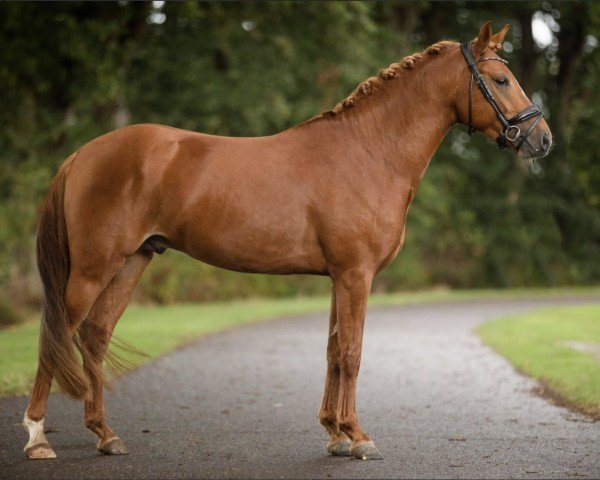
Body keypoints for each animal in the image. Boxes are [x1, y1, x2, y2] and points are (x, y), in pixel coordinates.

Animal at [23, 22, 552, 462]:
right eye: (500, 80)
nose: (541, 138)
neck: (369, 152)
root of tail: (84, 153)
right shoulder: (356, 275)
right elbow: (352, 352)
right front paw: (359, 437)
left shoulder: (340, 276)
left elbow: (334, 351)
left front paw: (335, 434)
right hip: (93, 267)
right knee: (56, 335)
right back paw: (37, 439)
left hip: (133, 260)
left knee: (94, 335)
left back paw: (105, 435)